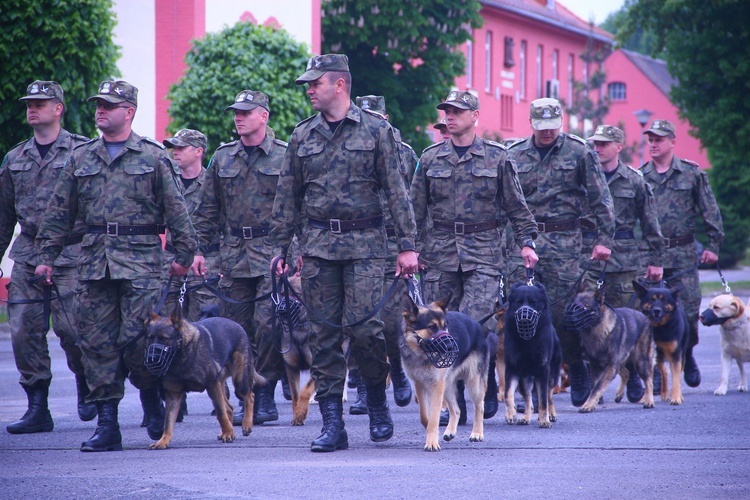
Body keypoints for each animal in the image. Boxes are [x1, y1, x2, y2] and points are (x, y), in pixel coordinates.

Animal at [145, 308, 266, 450]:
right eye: (150, 338)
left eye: (164, 338)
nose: (151, 359)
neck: (182, 354)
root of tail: (237, 325)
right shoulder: (173, 395)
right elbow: (168, 422)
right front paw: (163, 441)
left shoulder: (212, 385)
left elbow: (220, 413)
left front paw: (229, 433)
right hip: (221, 385)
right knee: (229, 408)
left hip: (239, 380)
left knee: (249, 397)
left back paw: (246, 424)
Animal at [402, 294, 490, 452]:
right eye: (432, 327)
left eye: (445, 326)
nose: (450, 346)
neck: (421, 354)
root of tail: (477, 324)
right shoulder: (420, 384)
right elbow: (425, 415)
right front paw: (431, 430)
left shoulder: (436, 386)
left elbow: (434, 416)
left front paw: (431, 441)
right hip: (447, 385)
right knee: (456, 409)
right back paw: (450, 432)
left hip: (474, 383)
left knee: (479, 406)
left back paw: (477, 433)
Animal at [506, 280, 564, 428]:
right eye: (519, 302)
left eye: (533, 302)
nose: (524, 318)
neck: (528, 340)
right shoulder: (512, 369)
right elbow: (508, 394)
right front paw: (511, 414)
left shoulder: (543, 370)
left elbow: (543, 400)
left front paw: (544, 420)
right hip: (524, 379)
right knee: (528, 399)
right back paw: (525, 417)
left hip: (552, 376)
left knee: (549, 396)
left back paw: (551, 414)